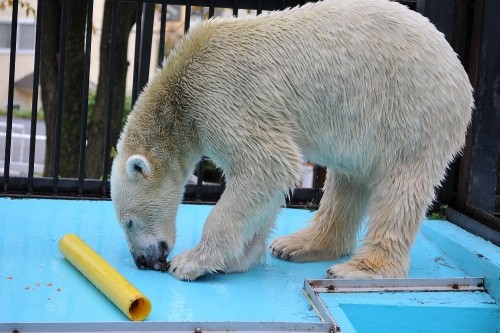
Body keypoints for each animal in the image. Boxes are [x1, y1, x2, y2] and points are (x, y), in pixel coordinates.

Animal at [110, 0, 472, 280]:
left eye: (128, 222)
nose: (143, 261)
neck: (178, 92)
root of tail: (459, 72)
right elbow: (267, 183)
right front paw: (240, 258)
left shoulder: (220, 96)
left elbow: (266, 163)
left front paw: (191, 262)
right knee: (348, 181)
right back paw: (299, 245)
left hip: (410, 109)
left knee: (400, 187)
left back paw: (361, 269)